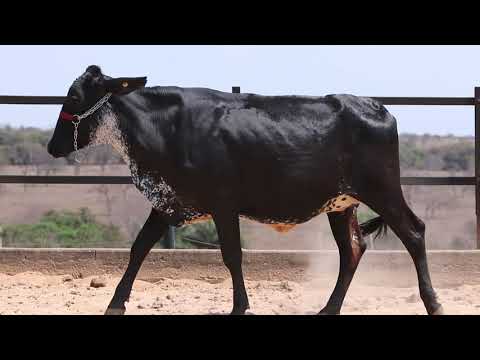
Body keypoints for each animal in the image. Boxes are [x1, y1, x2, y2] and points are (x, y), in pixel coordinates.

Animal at [47, 65, 444, 316]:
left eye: (74, 97)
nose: (52, 146)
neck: (169, 128)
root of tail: (375, 106)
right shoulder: (167, 201)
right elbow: (139, 248)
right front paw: (115, 303)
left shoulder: (223, 204)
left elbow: (232, 255)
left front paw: (240, 306)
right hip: (341, 203)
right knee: (353, 250)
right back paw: (329, 307)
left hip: (383, 190)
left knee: (414, 232)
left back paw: (433, 303)